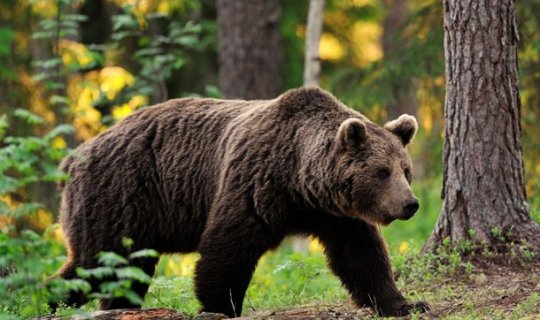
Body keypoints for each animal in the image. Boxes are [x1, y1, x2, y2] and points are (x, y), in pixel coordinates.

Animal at [54, 87, 430, 318]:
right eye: (382, 172)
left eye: (405, 170)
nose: (410, 204)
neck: (299, 180)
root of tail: (74, 157)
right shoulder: (255, 183)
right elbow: (228, 248)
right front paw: (221, 305)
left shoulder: (336, 215)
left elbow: (362, 257)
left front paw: (406, 303)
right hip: (120, 197)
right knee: (95, 263)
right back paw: (49, 298)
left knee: (124, 272)